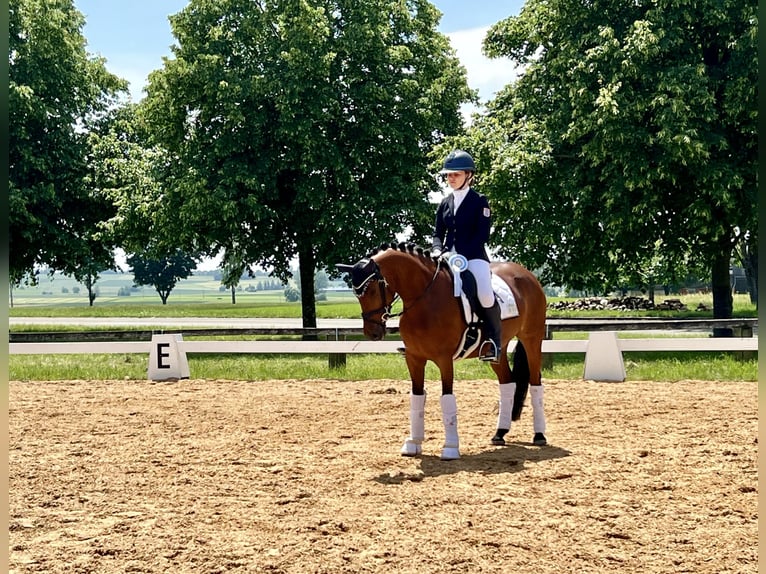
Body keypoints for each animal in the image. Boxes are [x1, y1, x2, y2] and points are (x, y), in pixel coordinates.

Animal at [340, 244, 548, 464]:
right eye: (356, 294)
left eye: (371, 290)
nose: (372, 333)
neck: (424, 297)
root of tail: (528, 275)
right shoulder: (414, 359)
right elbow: (416, 397)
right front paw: (413, 443)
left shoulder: (444, 359)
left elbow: (447, 398)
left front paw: (450, 448)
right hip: (498, 350)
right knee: (507, 384)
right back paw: (500, 433)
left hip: (532, 339)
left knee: (536, 383)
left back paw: (539, 436)